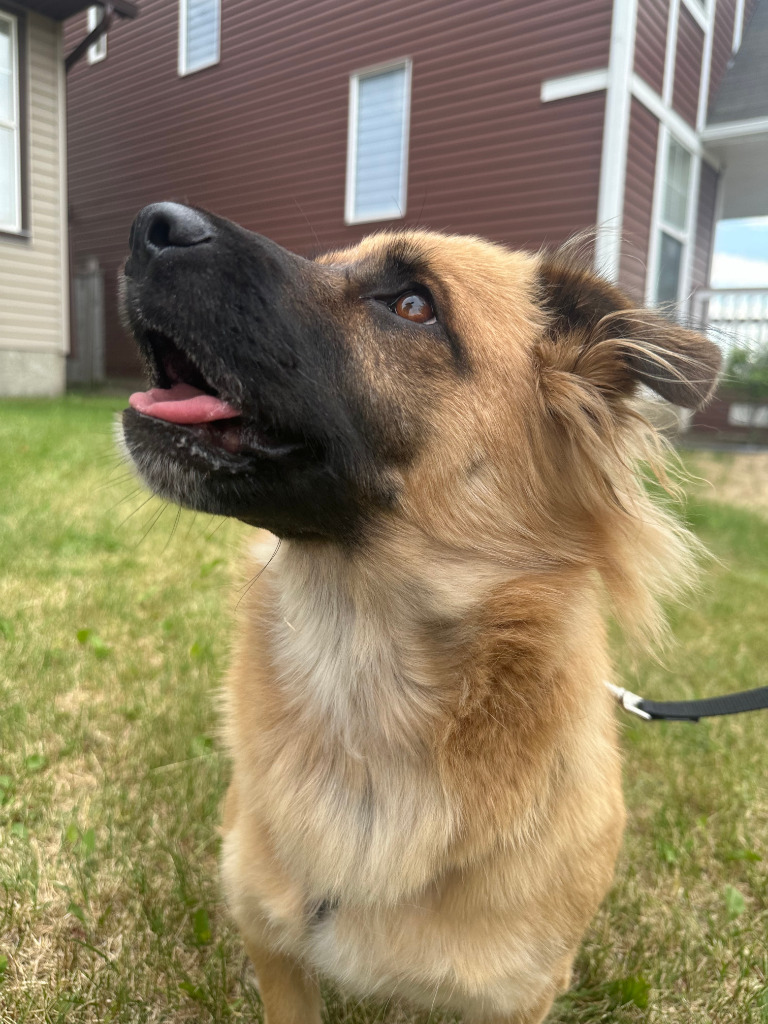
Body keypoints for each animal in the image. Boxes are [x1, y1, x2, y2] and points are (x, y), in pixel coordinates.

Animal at [118, 201, 720, 1024]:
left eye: (412, 305)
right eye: (324, 259)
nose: (152, 224)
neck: (363, 673)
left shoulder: (518, 996)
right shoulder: (274, 948)